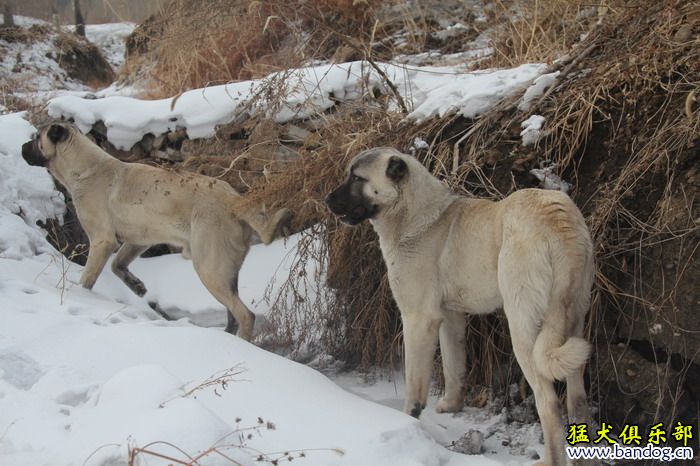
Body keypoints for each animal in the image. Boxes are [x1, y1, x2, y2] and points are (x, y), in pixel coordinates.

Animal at [21, 122, 290, 340]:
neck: (85, 168)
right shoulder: (137, 240)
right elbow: (117, 265)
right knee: (233, 313)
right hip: (224, 273)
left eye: (36, 138)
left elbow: (89, 277)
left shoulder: (102, 240)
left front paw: (83, 296)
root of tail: (235, 201)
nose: (23, 146)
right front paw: (136, 285)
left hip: (210, 269)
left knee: (245, 315)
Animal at [328, 148, 596, 466]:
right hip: (574, 320)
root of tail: (556, 220)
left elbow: (414, 381)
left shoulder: (418, 319)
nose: (327, 200)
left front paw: (408, 420)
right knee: (577, 399)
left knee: (550, 402)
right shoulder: (450, 316)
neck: (413, 214)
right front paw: (452, 405)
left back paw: (550, 459)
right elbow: (453, 363)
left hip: (524, 330)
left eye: (357, 178)